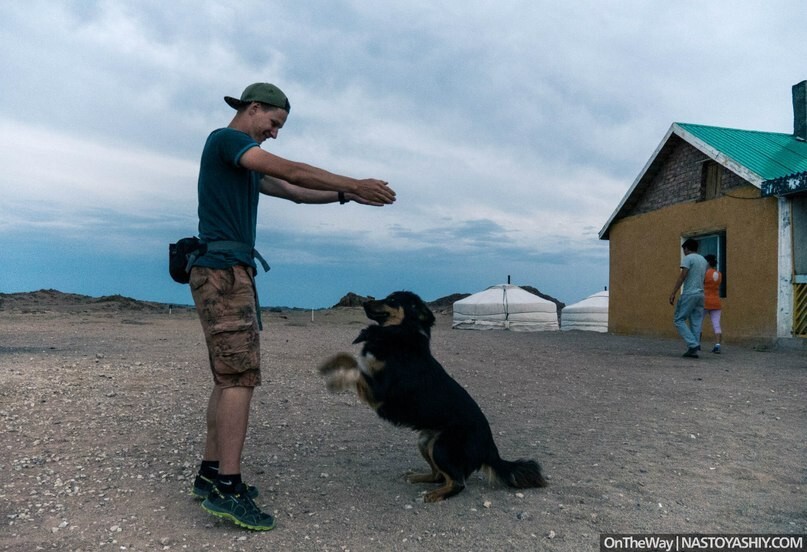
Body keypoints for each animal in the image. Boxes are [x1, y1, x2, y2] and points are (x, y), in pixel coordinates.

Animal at [318, 292, 548, 502]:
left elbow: (355, 368)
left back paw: (434, 495)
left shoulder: (379, 392)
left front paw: (336, 380)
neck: (400, 333)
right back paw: (419, 477)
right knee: (439, 475)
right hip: (425, 441)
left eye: (392, 299)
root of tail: (490, 447)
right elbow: (348, 358)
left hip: (441, 447)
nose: (365, 302)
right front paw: (330, 364)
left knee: (457, 482)